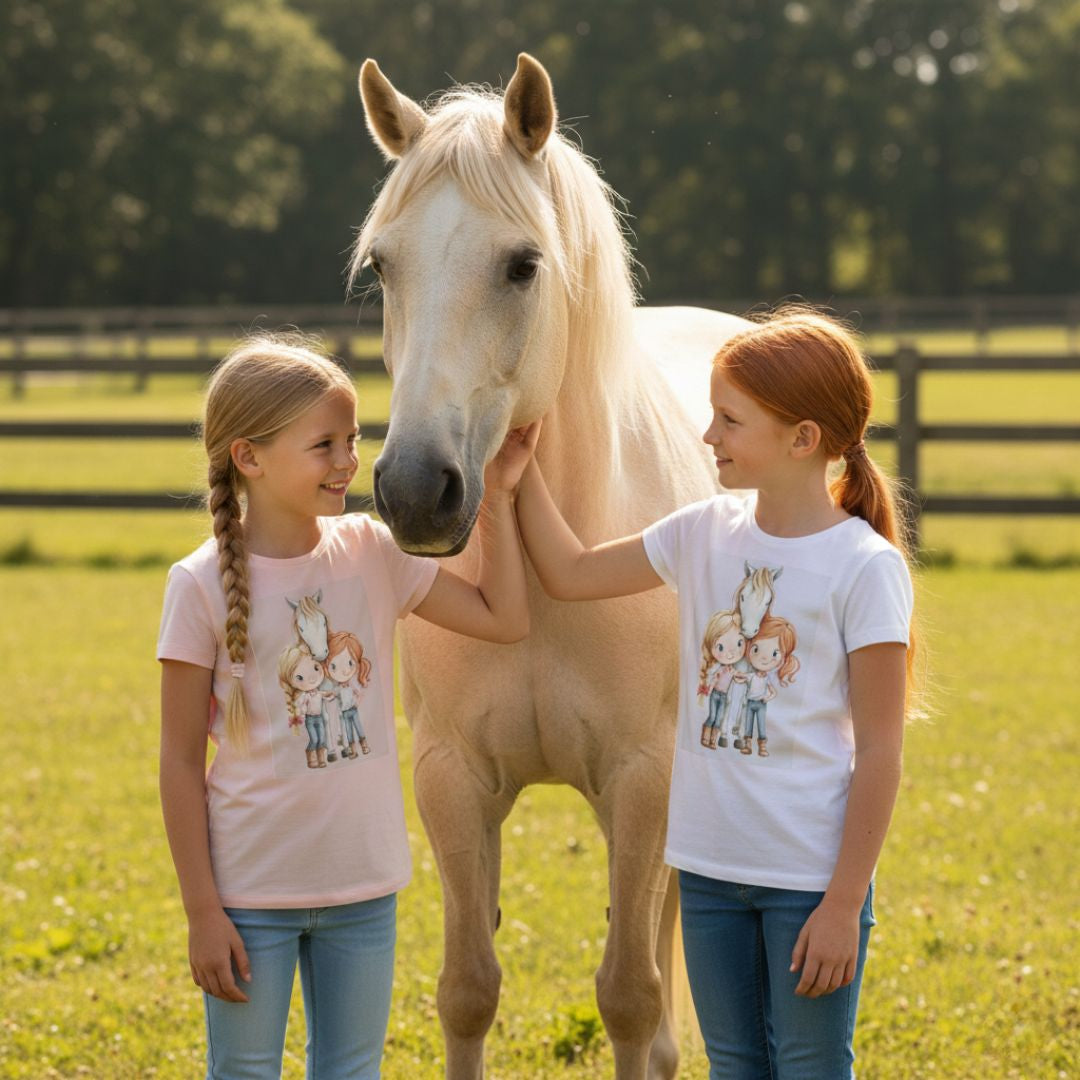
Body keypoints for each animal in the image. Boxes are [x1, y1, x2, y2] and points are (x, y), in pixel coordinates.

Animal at [352, 54, 751, 1079]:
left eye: (522, 264)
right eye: (383, 266)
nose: (415, 490)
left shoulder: (642, 780)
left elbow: (630, 997)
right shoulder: (453, 780)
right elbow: (467, 989)